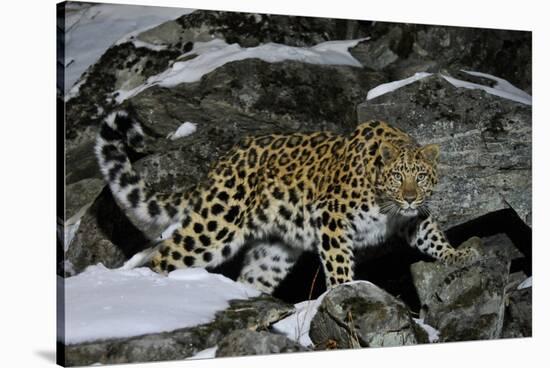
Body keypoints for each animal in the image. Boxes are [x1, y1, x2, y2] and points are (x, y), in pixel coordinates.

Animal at [96, 108, 484, 294]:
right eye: (397, 176)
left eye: (420, 176)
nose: (409, 196)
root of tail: (220, 164)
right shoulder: (332, 217)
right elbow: (339, 262)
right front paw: (346, 291)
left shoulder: (414, 218)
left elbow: (432, 237)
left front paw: (460, 254)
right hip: (215, 226)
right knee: (166, 255)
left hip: (273, 252)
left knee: (250, 279)